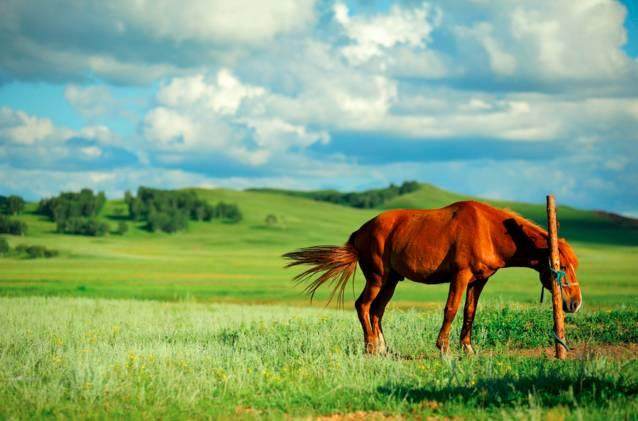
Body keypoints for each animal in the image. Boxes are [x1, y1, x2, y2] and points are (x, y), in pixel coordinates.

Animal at [282, 200, 584, 354]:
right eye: (562, 265)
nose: (575, 303)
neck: (489, 230)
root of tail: (360, 232)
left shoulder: (479, 281)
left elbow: (469, 312)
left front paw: (467, 348)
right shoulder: (460, 276)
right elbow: (450, 309)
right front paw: (443, 348)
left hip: (391, 281)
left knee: (377, 311)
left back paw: (384, 348)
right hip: (377, 278)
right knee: (363, 306)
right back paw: (371, 348)